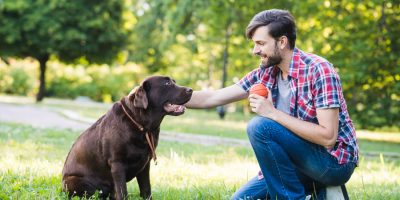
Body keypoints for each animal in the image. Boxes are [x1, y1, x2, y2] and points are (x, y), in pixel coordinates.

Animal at [61, 76, 193, 199]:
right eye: (167, 83)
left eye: (174, 82)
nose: (191, 90)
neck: (141, 125)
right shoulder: (117, 163)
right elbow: (122, 191)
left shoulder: (145, 164)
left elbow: (146, 188)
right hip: (72, 181)